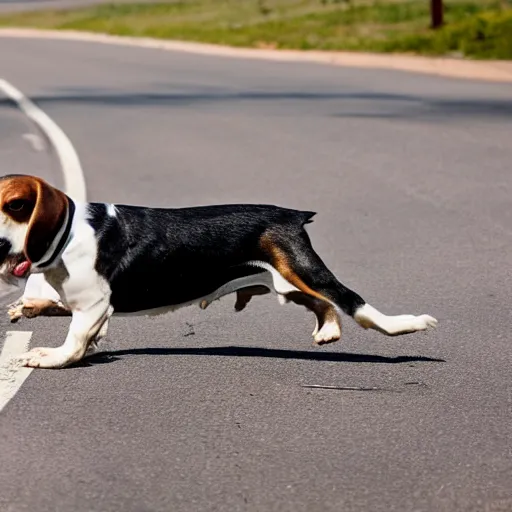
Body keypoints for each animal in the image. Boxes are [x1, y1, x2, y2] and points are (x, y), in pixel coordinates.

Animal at [1, 174, 440, 366]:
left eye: (17, 205)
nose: (1, 246)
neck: (68, 233)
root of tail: (291, 215)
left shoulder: (92, 306)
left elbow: (73, 342)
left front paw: (49, 357)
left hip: (302, 270)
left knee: (354, 303)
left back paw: (410, 324)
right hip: (287, 281)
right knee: (324, 304)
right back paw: (328, 331)